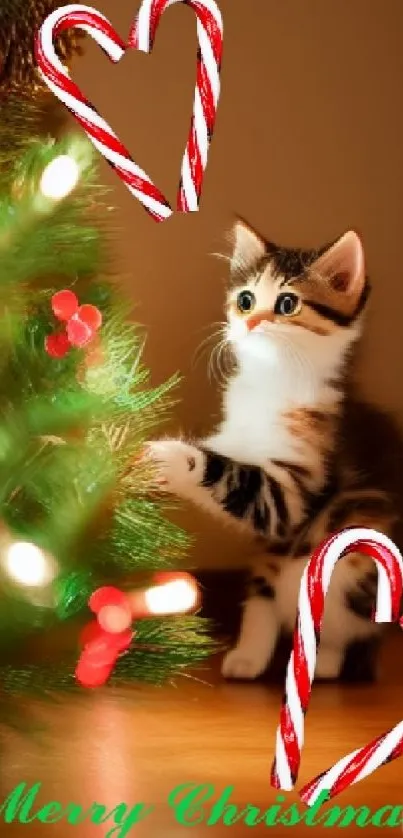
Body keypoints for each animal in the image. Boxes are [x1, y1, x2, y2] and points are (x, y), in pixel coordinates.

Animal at [149, 221, 403, 684]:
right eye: (245, 300)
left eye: (287, 303)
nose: (250, 322)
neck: (272, 379)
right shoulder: (235, 443)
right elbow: (220, 456)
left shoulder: (290, 496)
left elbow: (226, 472)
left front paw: (164, 454)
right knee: (266, 591)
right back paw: (251, 656)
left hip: (355, 555)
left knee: (339, 622)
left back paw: (324, 663)